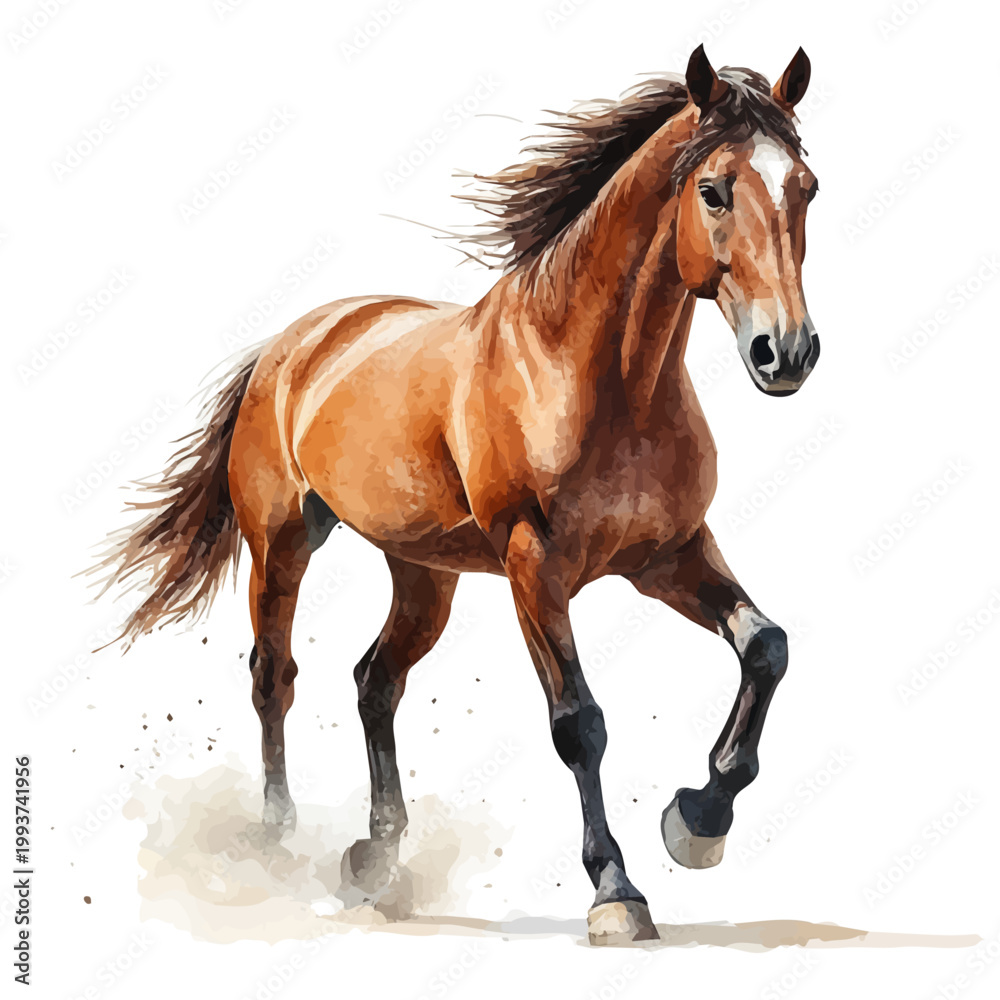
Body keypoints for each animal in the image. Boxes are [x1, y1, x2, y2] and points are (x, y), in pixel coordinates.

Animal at [93, 45, 820, 946]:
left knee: (375, 682)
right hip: (282, 542)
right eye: (714, 189)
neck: (594, 375)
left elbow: (767, 646)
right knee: (273, 675)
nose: (786, 352)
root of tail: (293, 342)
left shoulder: (671, 555)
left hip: (423, 575)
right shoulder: (534, 568)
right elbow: (579, 723)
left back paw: (377, 856)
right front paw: (616, 892)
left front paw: (698, 819)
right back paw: (275, 840)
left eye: (806, 186)